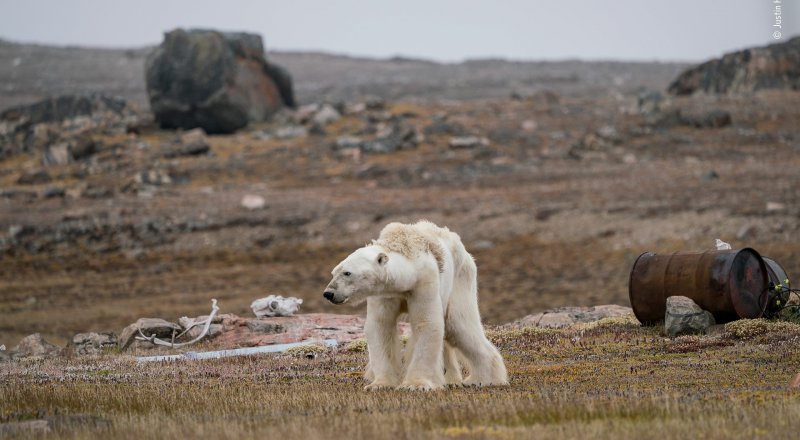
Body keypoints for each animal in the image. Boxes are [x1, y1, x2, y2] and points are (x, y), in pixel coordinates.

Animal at [324, 222, 506, 390]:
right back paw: (451, 379)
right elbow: (380, 325)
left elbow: (426, 323)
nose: (328, 293)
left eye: (347, 273)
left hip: (461, 278)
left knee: (458, 325)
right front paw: (379, 384)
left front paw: (415, 385)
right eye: (333, 272)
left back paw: (483, 379)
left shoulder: (424, 282)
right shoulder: (385, 292)